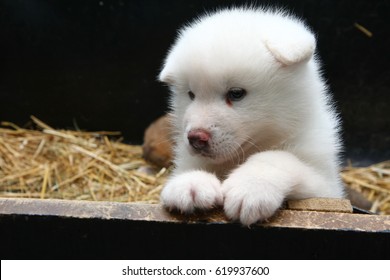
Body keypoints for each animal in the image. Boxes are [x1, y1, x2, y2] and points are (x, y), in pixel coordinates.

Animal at [157, 7, 342, 225]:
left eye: (236, 93)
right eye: (191, 95)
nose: (195, 138)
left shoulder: (325, 186)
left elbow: (280, 157)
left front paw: (251, 187)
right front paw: (190, 182)